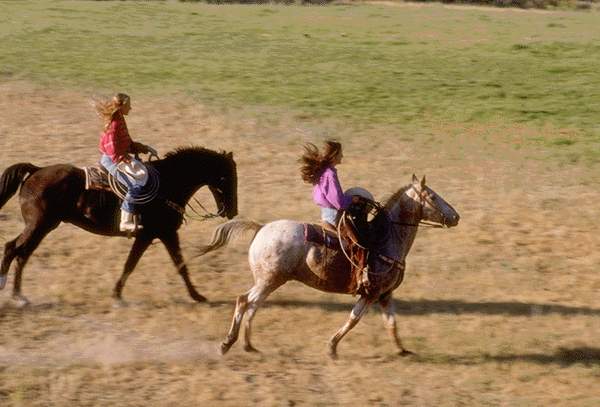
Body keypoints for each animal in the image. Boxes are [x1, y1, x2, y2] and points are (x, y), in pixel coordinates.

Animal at [0, 147, 239, 306]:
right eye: (226, 178)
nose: (232, 211)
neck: (168, 184)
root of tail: (36, 171)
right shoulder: (155, 234)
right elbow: (137, 264)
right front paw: (117, 296)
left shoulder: (161, 234)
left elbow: (174, 264)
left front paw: (197, 296)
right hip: (39, 226)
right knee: (14, 249)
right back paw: (13, 293)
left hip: (43, 227)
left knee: (21, 253)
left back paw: (18, 294)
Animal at [197, 174, 460, 358]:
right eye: (433, 197)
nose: (456, 216)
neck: (386, 238)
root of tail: (261, 228)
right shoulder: (371, 293)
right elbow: (353, 319)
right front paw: (332, 347)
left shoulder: (385, 294)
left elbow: (391, 323)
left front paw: (403, 350)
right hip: (268, 280)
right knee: (244, 301)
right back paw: (227, 344)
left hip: (270, 281)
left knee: (252, 306)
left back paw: (248, 345)